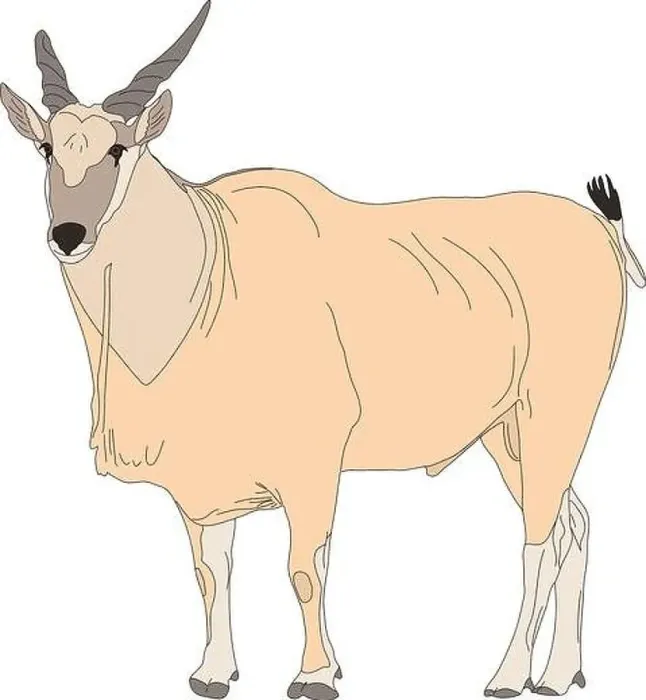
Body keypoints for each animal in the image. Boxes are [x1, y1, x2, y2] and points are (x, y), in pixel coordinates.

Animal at [1, 2, 644, 699]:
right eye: (46, 147)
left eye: (119, 148)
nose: (68, 234)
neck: (212, 271)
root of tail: (600, 227)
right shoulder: (205, 486)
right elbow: (211, 571)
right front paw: (214, 673)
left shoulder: (312, 466)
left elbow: (304, 569)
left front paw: (315, 675)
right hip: (508, 434)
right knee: (572, 526)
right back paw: (558, 672)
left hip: (554, 415)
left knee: (538, 539)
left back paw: (508, 673)